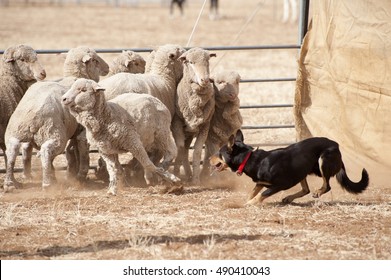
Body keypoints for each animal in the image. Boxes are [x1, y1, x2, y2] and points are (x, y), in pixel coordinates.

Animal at [172, 47, 216, 185]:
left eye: (207, 61)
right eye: (190, 62)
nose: (205, 80)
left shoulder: (205, 126)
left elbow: (196, 151)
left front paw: (196, 179)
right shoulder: (176, 124)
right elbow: (180, 148)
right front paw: (176, 174)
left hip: (190, 131)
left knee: (187, 150)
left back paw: (190, 174)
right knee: (184, 150)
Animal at [210, 130, 370, 205]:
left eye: (219, 153)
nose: (209, 158)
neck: (250, 159)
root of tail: (336, 145)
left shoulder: (280, 184)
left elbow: (261, 195)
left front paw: (250, 204)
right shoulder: (260, 183)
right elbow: (252, 193)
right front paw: (246, 201)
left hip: (323, 161)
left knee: (326, 186)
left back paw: (318, 192)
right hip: (302, 170)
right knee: (306, 189)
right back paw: (289, 198)